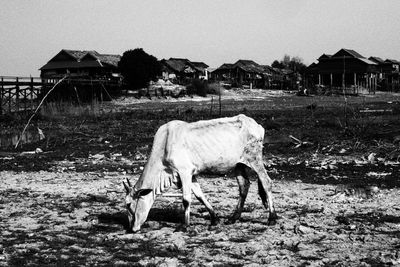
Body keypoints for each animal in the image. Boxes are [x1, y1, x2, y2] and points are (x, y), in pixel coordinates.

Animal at [123, 114, 276, 232]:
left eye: (129, 205)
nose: (131, 228)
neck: (164, 145)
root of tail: (257, 125)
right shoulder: (191, 174)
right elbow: (199, 195)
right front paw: (214, 219)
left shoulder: (184, 172)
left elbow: (186, 199)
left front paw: (185, 226)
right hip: (238, 165)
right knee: (244, 186)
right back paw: (233, 218)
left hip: (255, 159)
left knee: (266, 182)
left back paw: (272, 218)